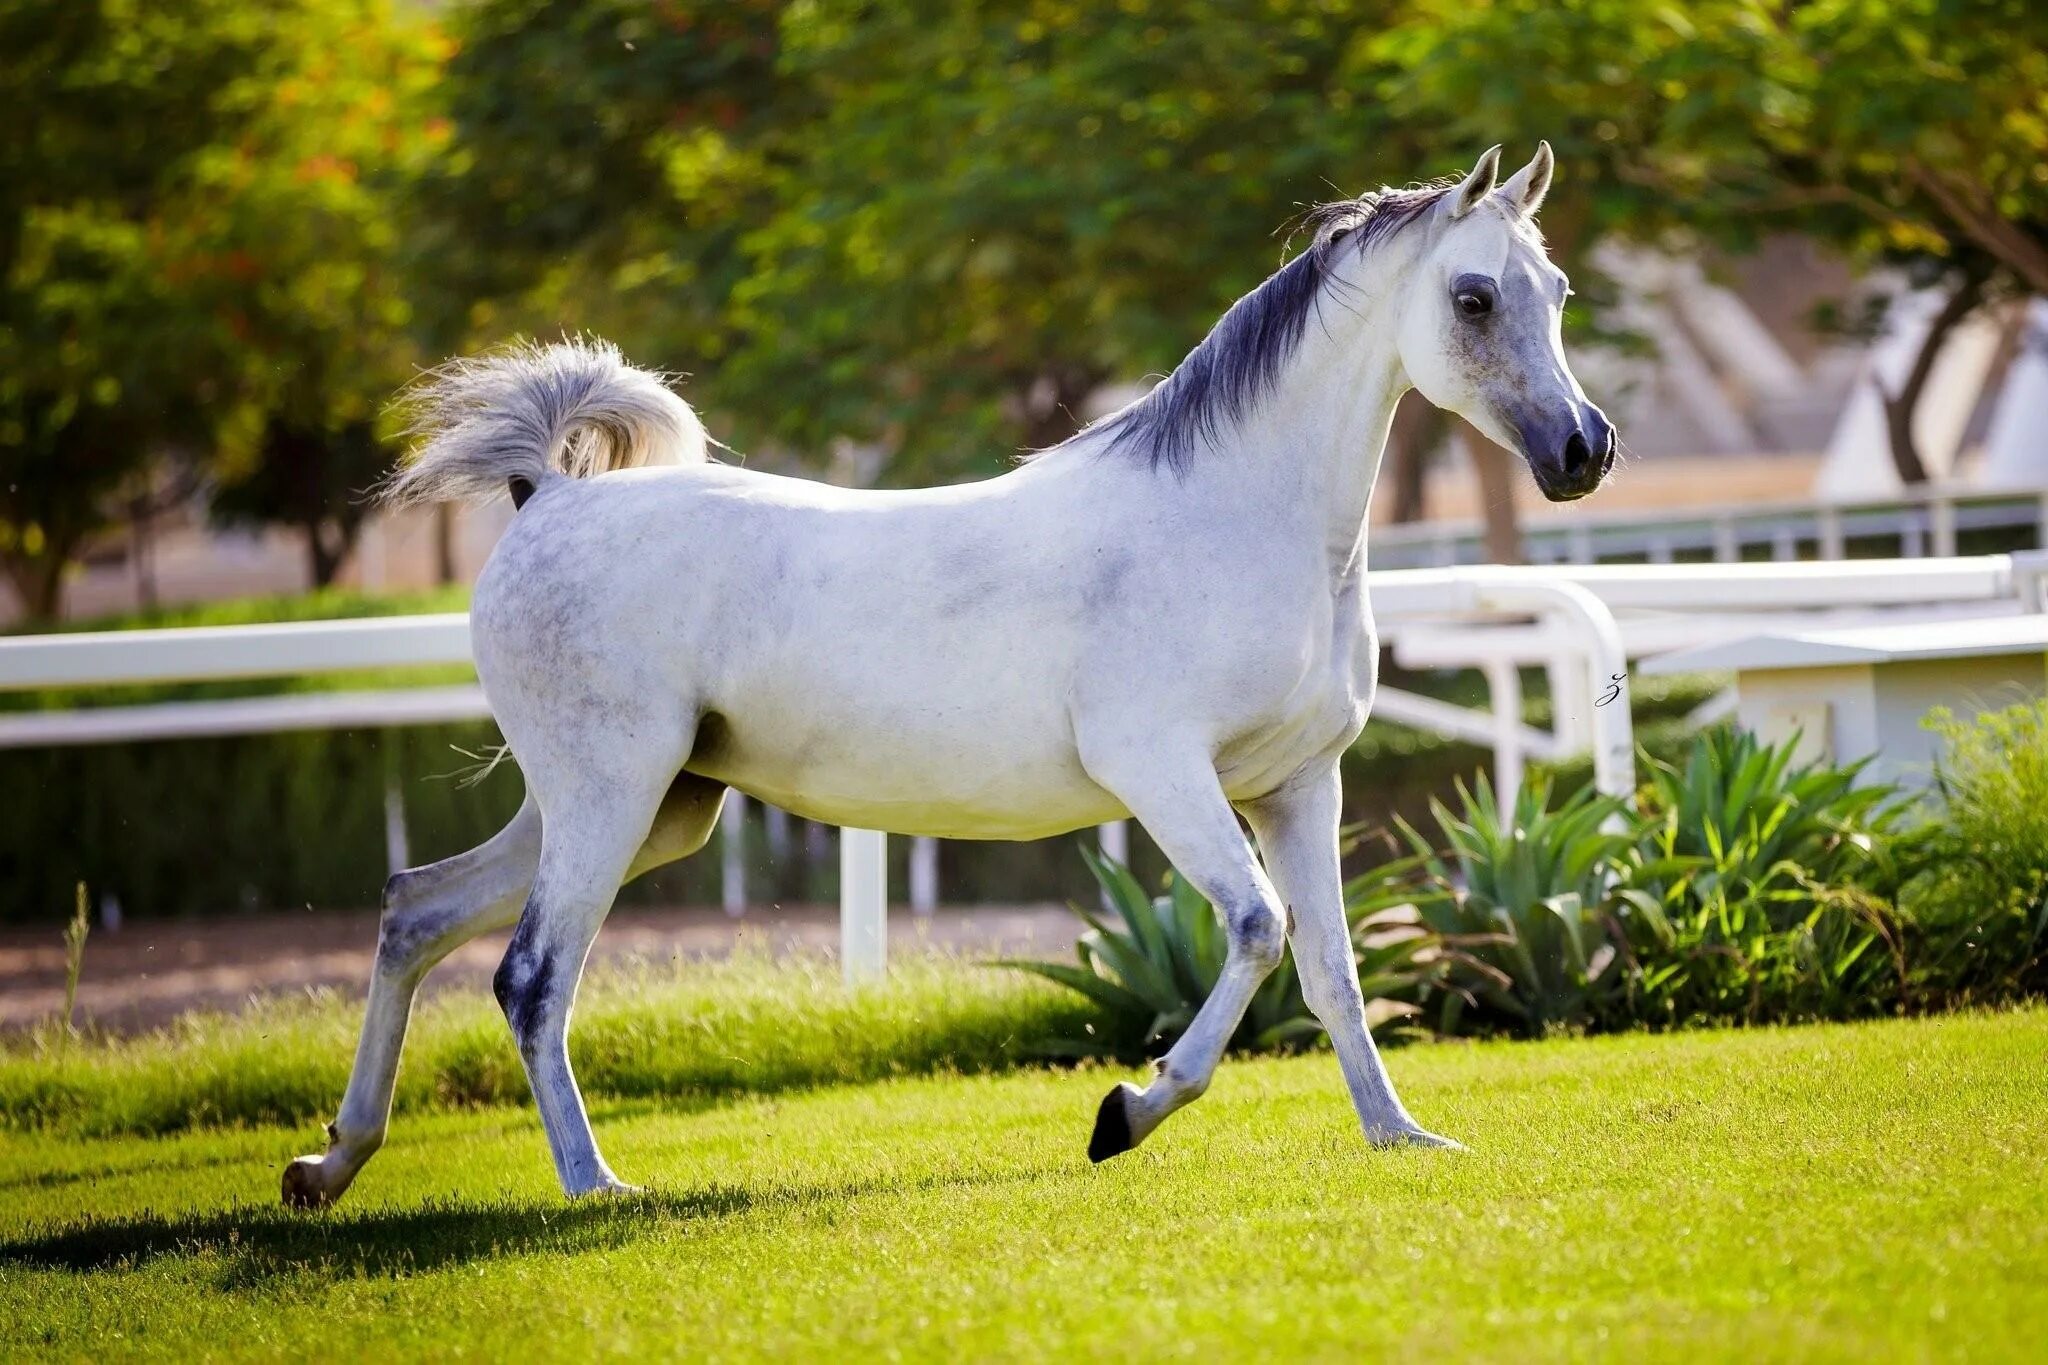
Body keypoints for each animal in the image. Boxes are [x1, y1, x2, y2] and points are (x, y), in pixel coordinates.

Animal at [280, 141, 1605, 1203]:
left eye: (1554, 291)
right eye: (1473, 296)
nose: (1582, 453)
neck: (1231, 519)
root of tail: (546, 496)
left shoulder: (1295, 786)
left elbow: (1329, 968)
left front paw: (1402, 1137)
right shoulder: (1162, 772)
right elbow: (1252, 929)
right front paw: (1122, 1114)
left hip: (641, 808)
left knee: (414, 911)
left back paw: (327, 1166)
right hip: (609, 798)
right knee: (529, 976)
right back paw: (592, 1184)